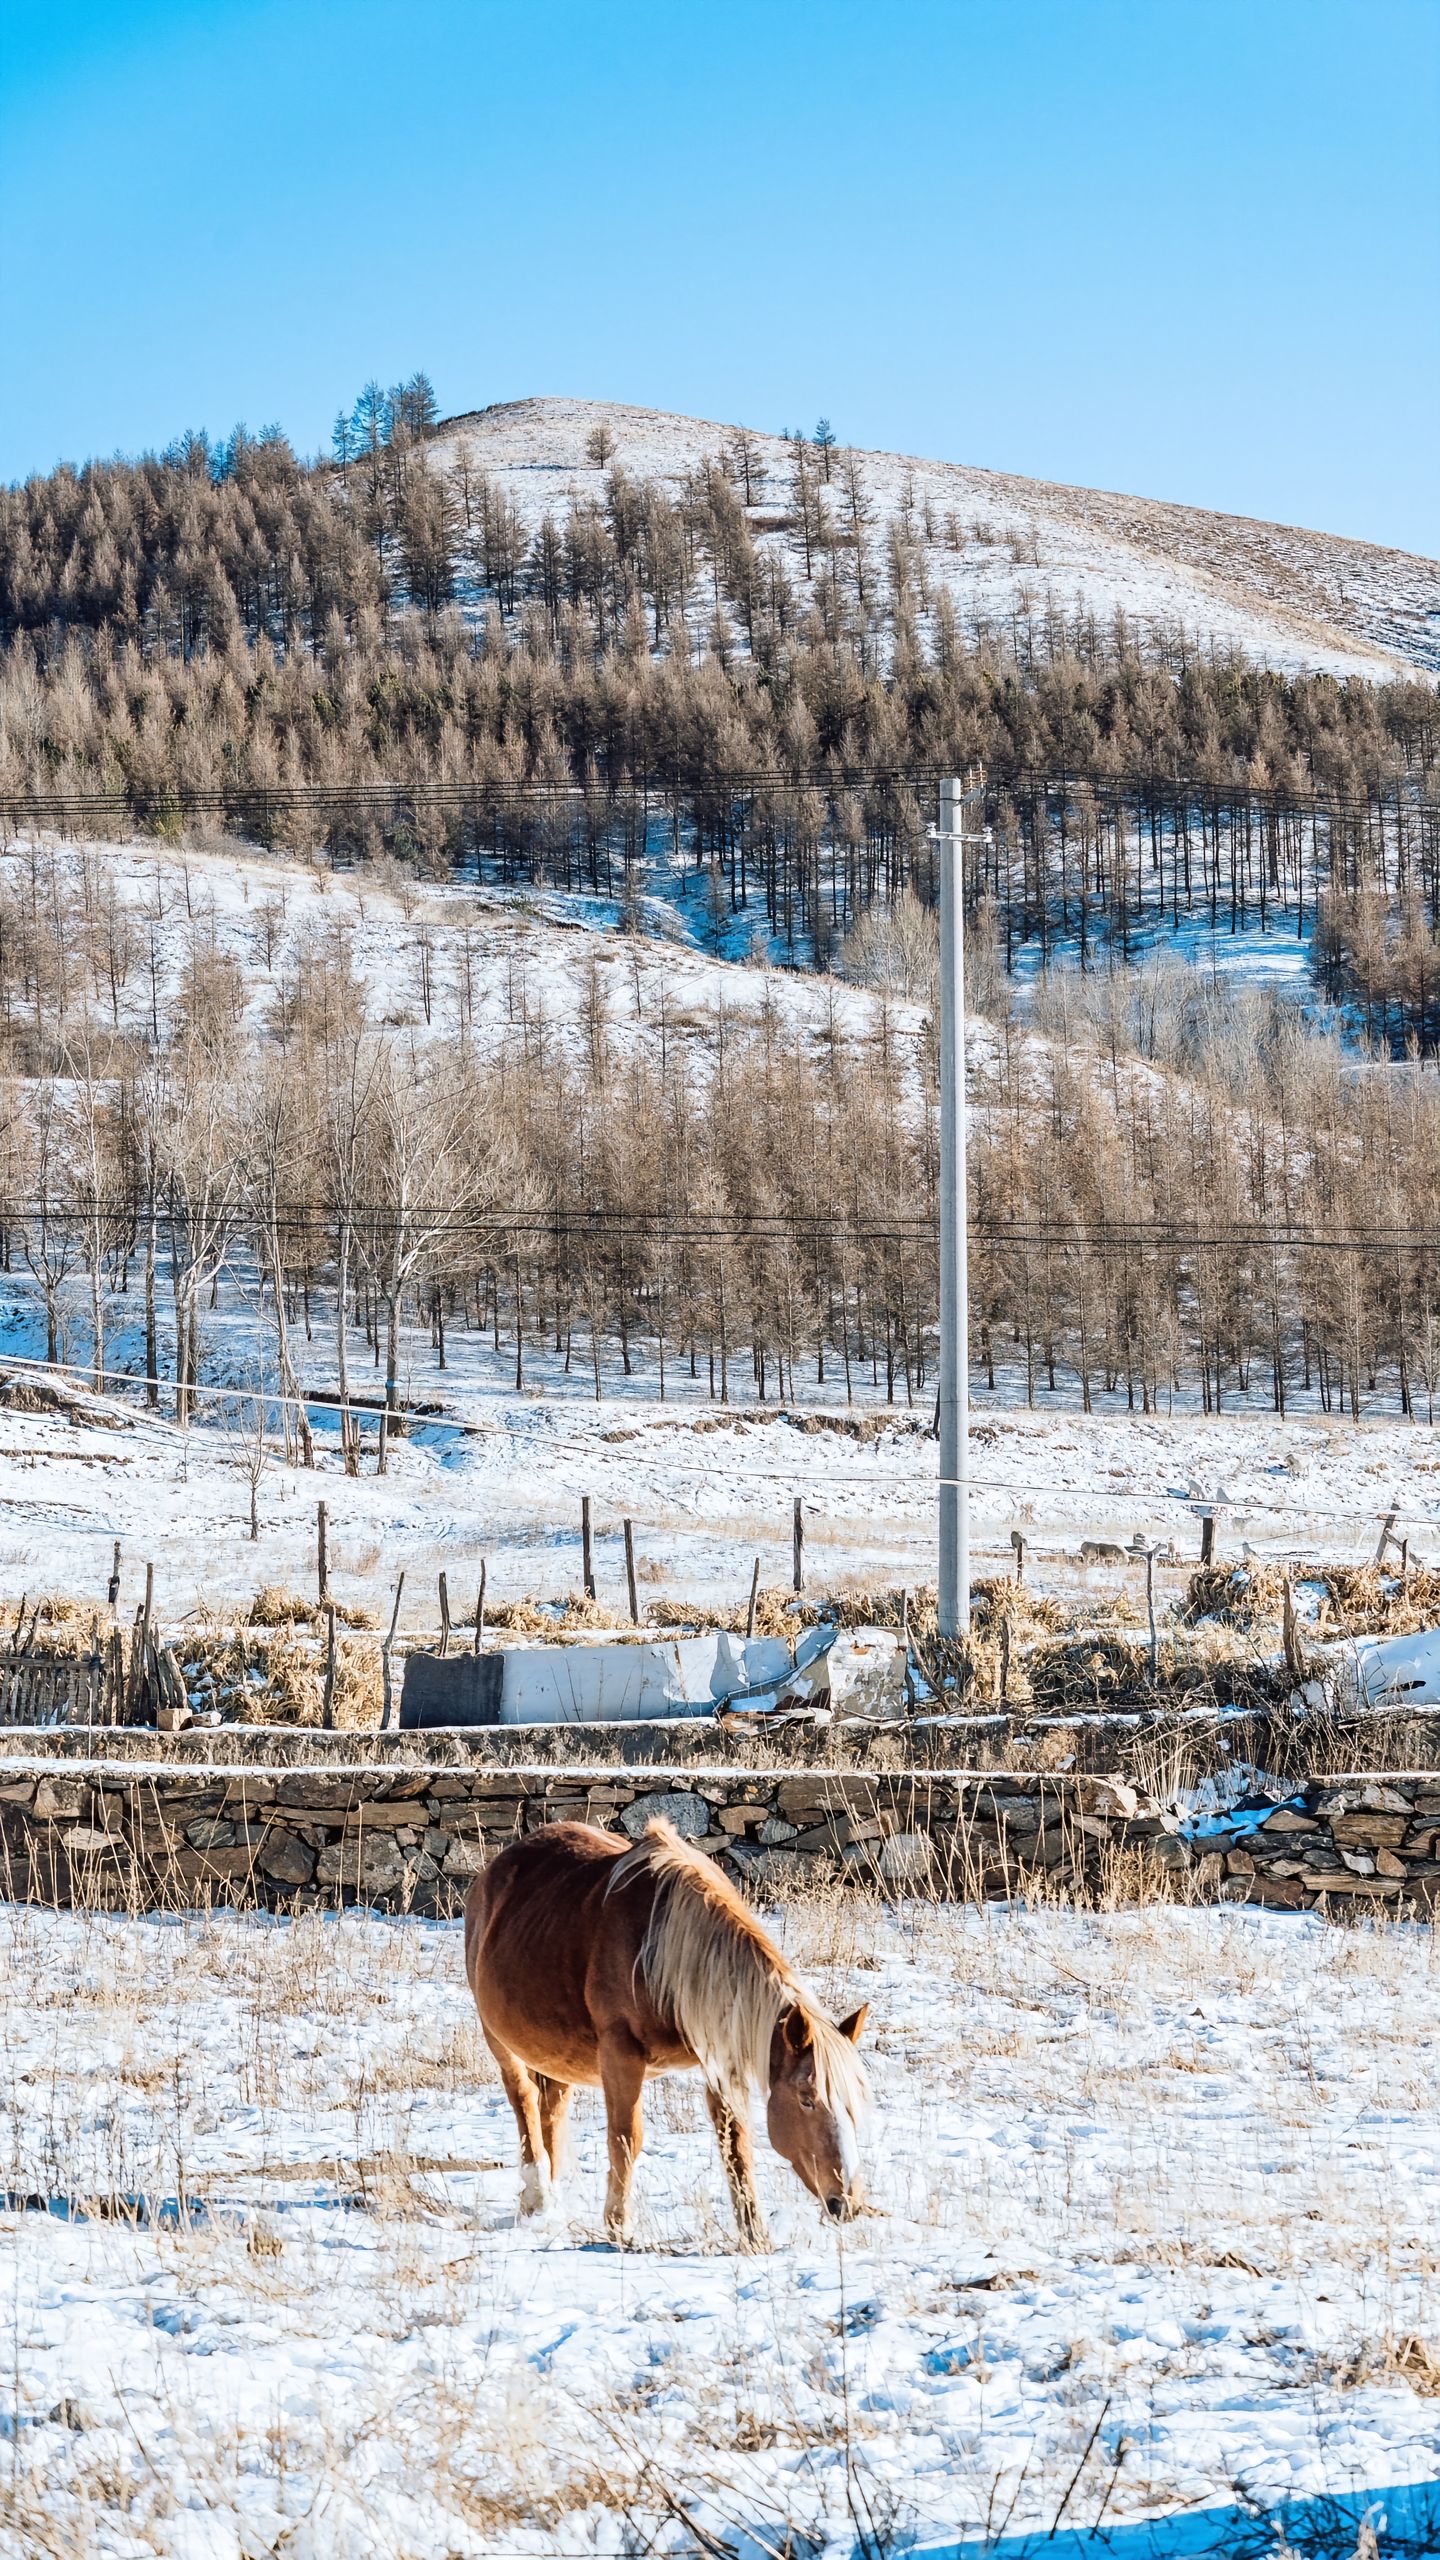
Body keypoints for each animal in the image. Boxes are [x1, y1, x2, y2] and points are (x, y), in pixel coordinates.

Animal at [466, 1812, 860, 2252]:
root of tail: (493, 1872)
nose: (847, 2202)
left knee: (552, 2107)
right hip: (498, 2038)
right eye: (807, 2099)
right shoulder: (621, 2055)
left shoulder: (718, 2059)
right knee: (524, 2102)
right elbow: (626, 2138)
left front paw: (754, 2236)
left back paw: (550, 2199)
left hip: (555, 2053)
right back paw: (537, 2196)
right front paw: (619, 2228)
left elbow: (735, 2143)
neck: (661, 1957)